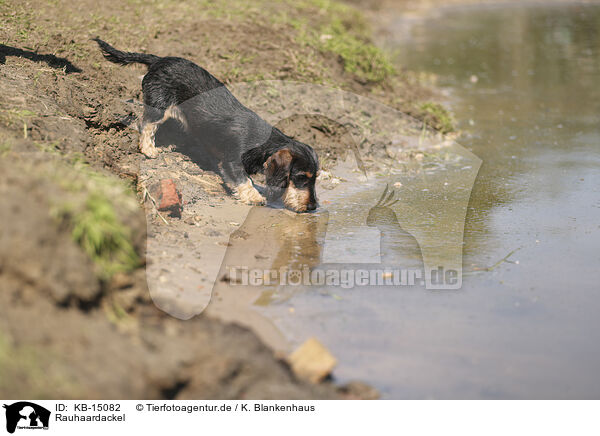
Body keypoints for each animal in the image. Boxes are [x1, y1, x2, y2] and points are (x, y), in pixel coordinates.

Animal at [94, 38, 318, 212]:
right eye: (301, 177)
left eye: (315, 177)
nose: (313, 207)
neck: (262, 142)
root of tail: (158, 60)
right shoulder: (232, 162)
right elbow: (244, 180)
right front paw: (254, 196)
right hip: (159, 106)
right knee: (146, 125)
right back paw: (149, 149)